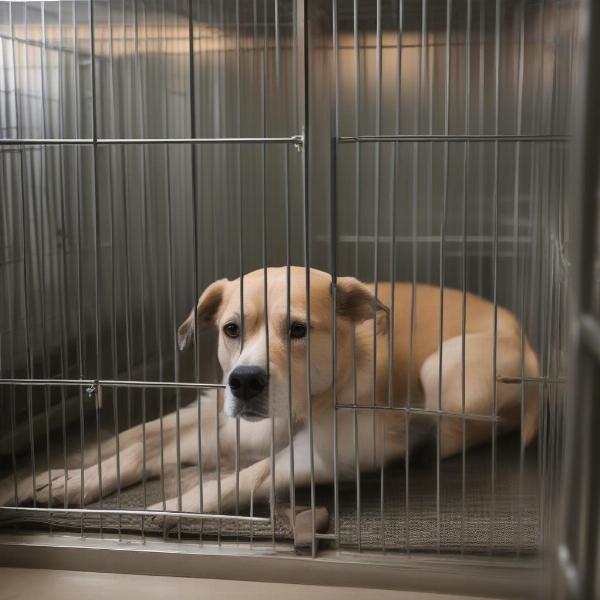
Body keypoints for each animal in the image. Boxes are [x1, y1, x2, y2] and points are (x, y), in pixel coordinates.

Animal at [4, 268, 540, 520]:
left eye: (299, 329)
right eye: (231, 329)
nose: (245, 381)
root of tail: (531, 345)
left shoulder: (323, 453)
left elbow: (244, 477)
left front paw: (173, 507)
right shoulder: (215, 423)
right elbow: (136, 444)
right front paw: (69, 477)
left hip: (444, 367)